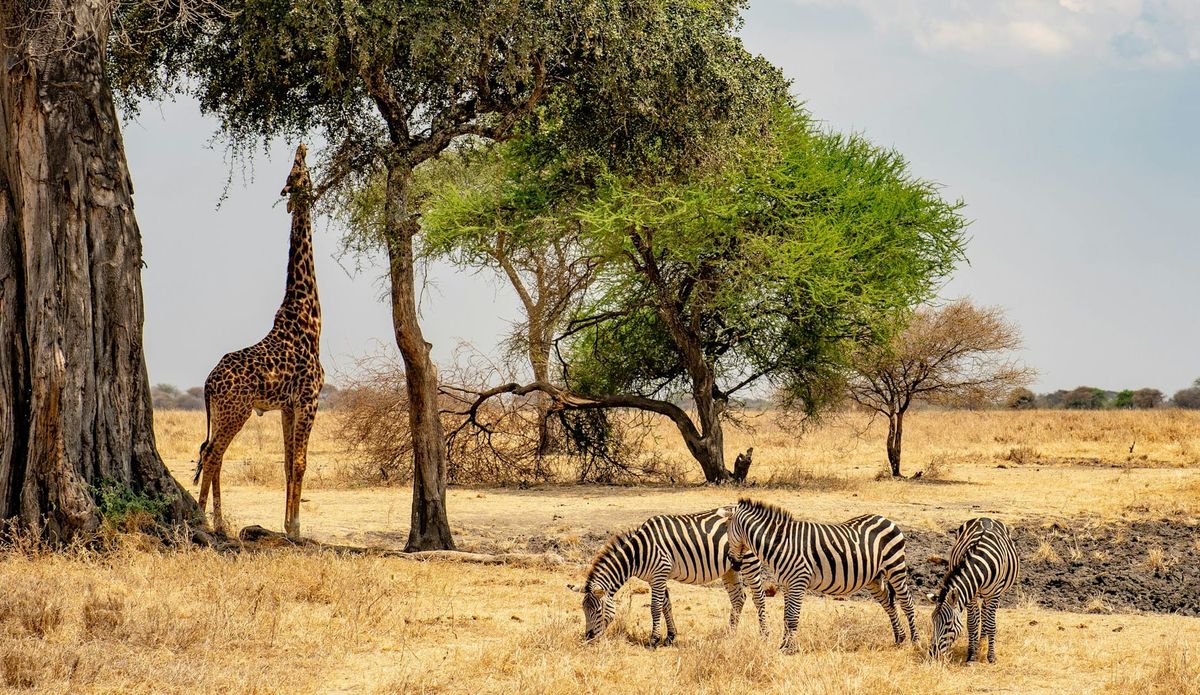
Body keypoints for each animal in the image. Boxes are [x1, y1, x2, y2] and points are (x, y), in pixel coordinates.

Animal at [193, 143, 323, 540]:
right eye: (295, 172)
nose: (302, 146)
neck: (310, 320)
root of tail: (207, 383)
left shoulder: (288, 406)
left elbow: (287, 462)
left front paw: (286, 524)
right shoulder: (310, 398)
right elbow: (300, 462)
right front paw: (295, 528)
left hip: (224, 411)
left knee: (210, 452)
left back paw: (213, 519)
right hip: (236, 410)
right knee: (213, 454)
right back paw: (208, 521)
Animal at [568, 509, 770, 647]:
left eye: (597, 610)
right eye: (584, 610)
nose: (589, 637)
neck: (638, 553)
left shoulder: (660, 572)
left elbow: (655, 607)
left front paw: (654, 639)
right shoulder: (657, 577)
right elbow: (666, 605)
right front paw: (670, 637)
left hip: (750, 561)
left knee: (758, 599)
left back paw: (764, 635)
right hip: (730, 568)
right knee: (738, 598)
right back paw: (730, 633)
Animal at [717, 498, 919, 653]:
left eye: (726, 529)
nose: (732, 562)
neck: (780, 543)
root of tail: (885, 518)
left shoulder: (798, 581)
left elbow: (792, 617)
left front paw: (789, 649)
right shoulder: (787, 584)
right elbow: (786, 617)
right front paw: (783, 645)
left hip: (895, 567)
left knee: (907, 603)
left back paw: (915, 641)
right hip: (874, 578)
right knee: (888, 603)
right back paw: (899, 638)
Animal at [928, 517, 1021, 663]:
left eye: (948, 623)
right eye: (933, 621)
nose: (933, 653)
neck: (981, 563)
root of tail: (985, 518)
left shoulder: (995, 593)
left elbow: (991, 624)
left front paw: (991, 656)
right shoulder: (971, 593)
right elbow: (972, 623)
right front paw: (971, 654)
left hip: (992, 594)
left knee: (987, 615)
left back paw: (982, 642)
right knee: (982, 613)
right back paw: (978, 643)